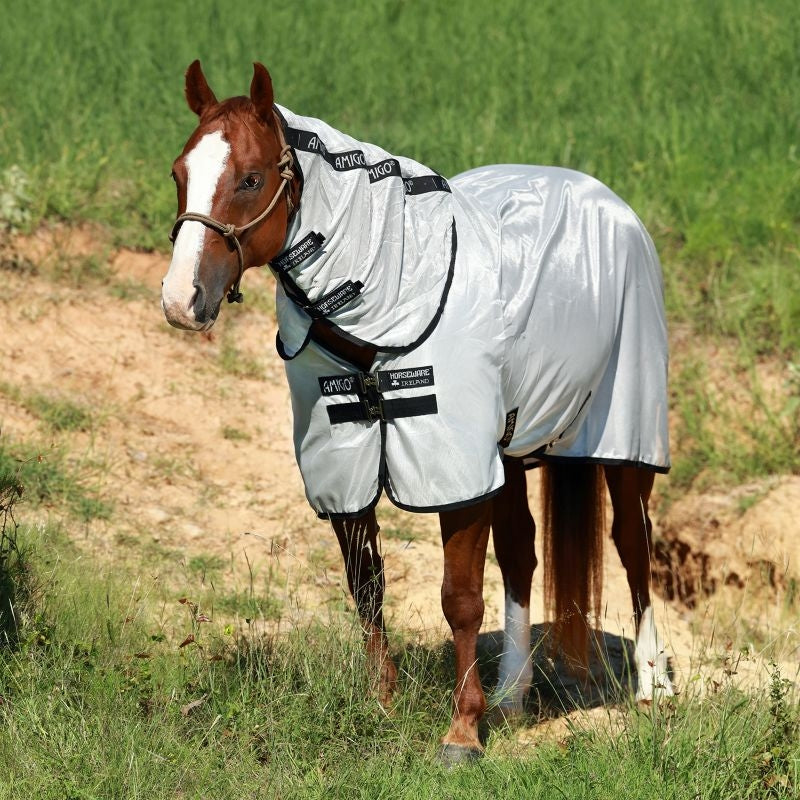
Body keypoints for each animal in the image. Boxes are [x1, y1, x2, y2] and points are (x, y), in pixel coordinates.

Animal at [161, 60, 674, 763]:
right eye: (179, 173)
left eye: (250, 178)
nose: (181, 300)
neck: (390, 292)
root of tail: (610, 202)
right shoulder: (344, 463)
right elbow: (367, 587)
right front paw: (384, 703)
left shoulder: (454, 470)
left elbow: (460, 599)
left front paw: (462, 732)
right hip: (511, 451)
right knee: (522, 554)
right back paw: (512, 696)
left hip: (626, 438)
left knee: (632, 545)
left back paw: (654, 688)